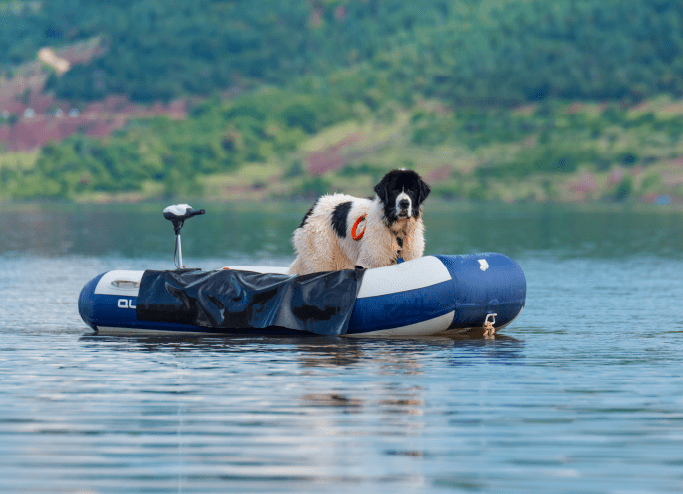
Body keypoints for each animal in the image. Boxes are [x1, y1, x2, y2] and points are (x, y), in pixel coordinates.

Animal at [290, 170, 432, 276]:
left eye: (411, 191)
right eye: (394, 190)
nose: (404, 203)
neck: (397, 231)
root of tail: (313, 208)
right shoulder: (371, 260)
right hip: (319, 255)